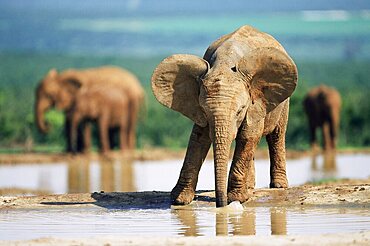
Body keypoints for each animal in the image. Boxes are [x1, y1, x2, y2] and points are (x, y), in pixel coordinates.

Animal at [150, 25, 298, 207]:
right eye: (204, 110)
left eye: (240, 110)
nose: (221, 205)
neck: (225, 63)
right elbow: (198, 137)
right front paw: (179, 200)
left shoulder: (255, 104)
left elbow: (248, 135)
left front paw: (236, 199)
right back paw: (250, 188)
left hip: (283, 103)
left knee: (276, 135)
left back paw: (278, 186)